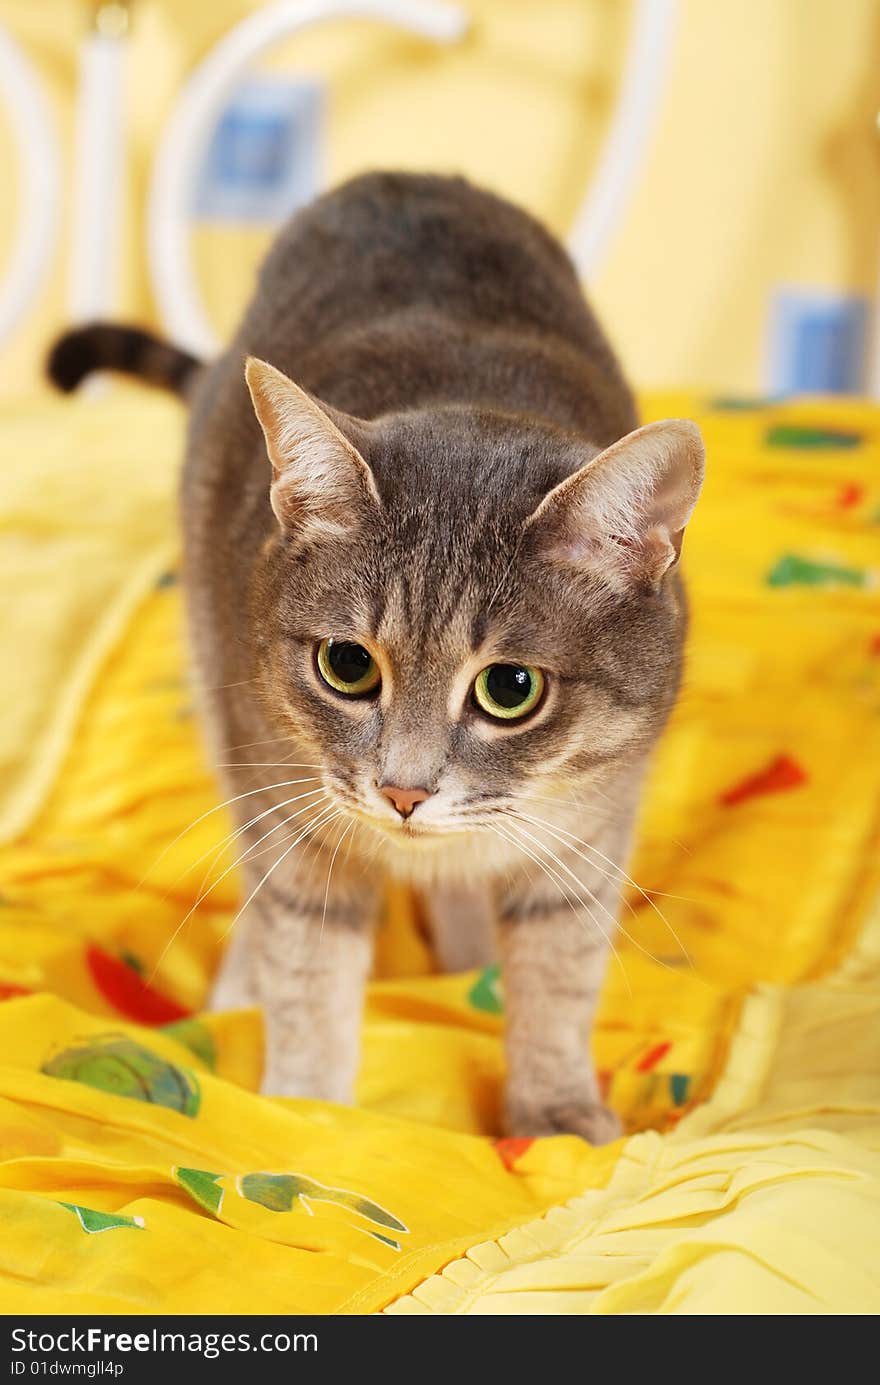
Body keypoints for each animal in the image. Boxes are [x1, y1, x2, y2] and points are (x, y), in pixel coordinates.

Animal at [51, 170, 706, 1135]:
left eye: (511, 687)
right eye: (348, 666)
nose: (403, 792)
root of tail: (401, 177)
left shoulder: (589, 830)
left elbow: (557, 975)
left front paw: (552, 1108)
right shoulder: (284, 802)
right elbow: (307, 968)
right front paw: (311, 1113)